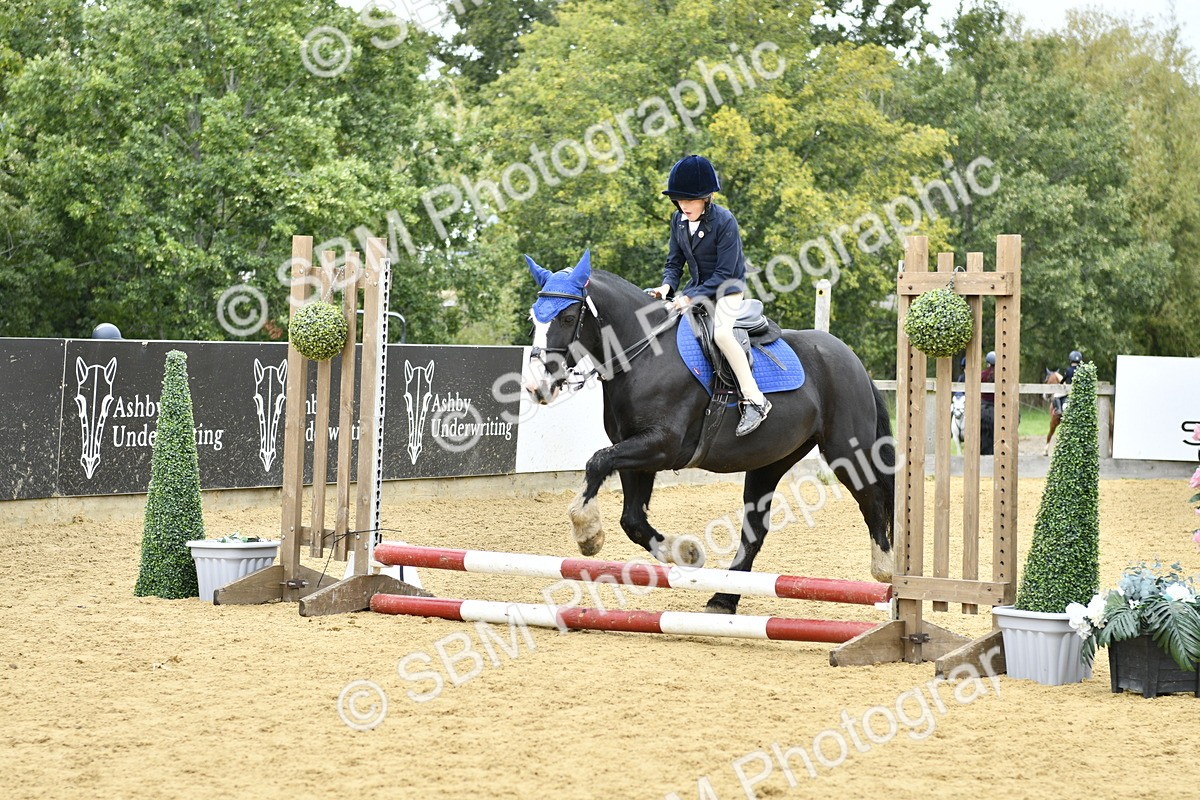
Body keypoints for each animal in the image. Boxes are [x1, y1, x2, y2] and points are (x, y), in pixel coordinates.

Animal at [522, 252, 895, 614]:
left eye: (568, 317)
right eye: (533, 319)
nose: (536, 386)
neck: (644, 355)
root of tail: (851, 359)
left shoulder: (662, 446)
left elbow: (597, 462)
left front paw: (587, 532)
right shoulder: (634, 450)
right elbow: (632, 519)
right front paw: (686, 552)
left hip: (847, 451)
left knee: (873, 500)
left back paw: (886, 571)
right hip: (769, 460)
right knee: (754, 529)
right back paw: (724, 598)